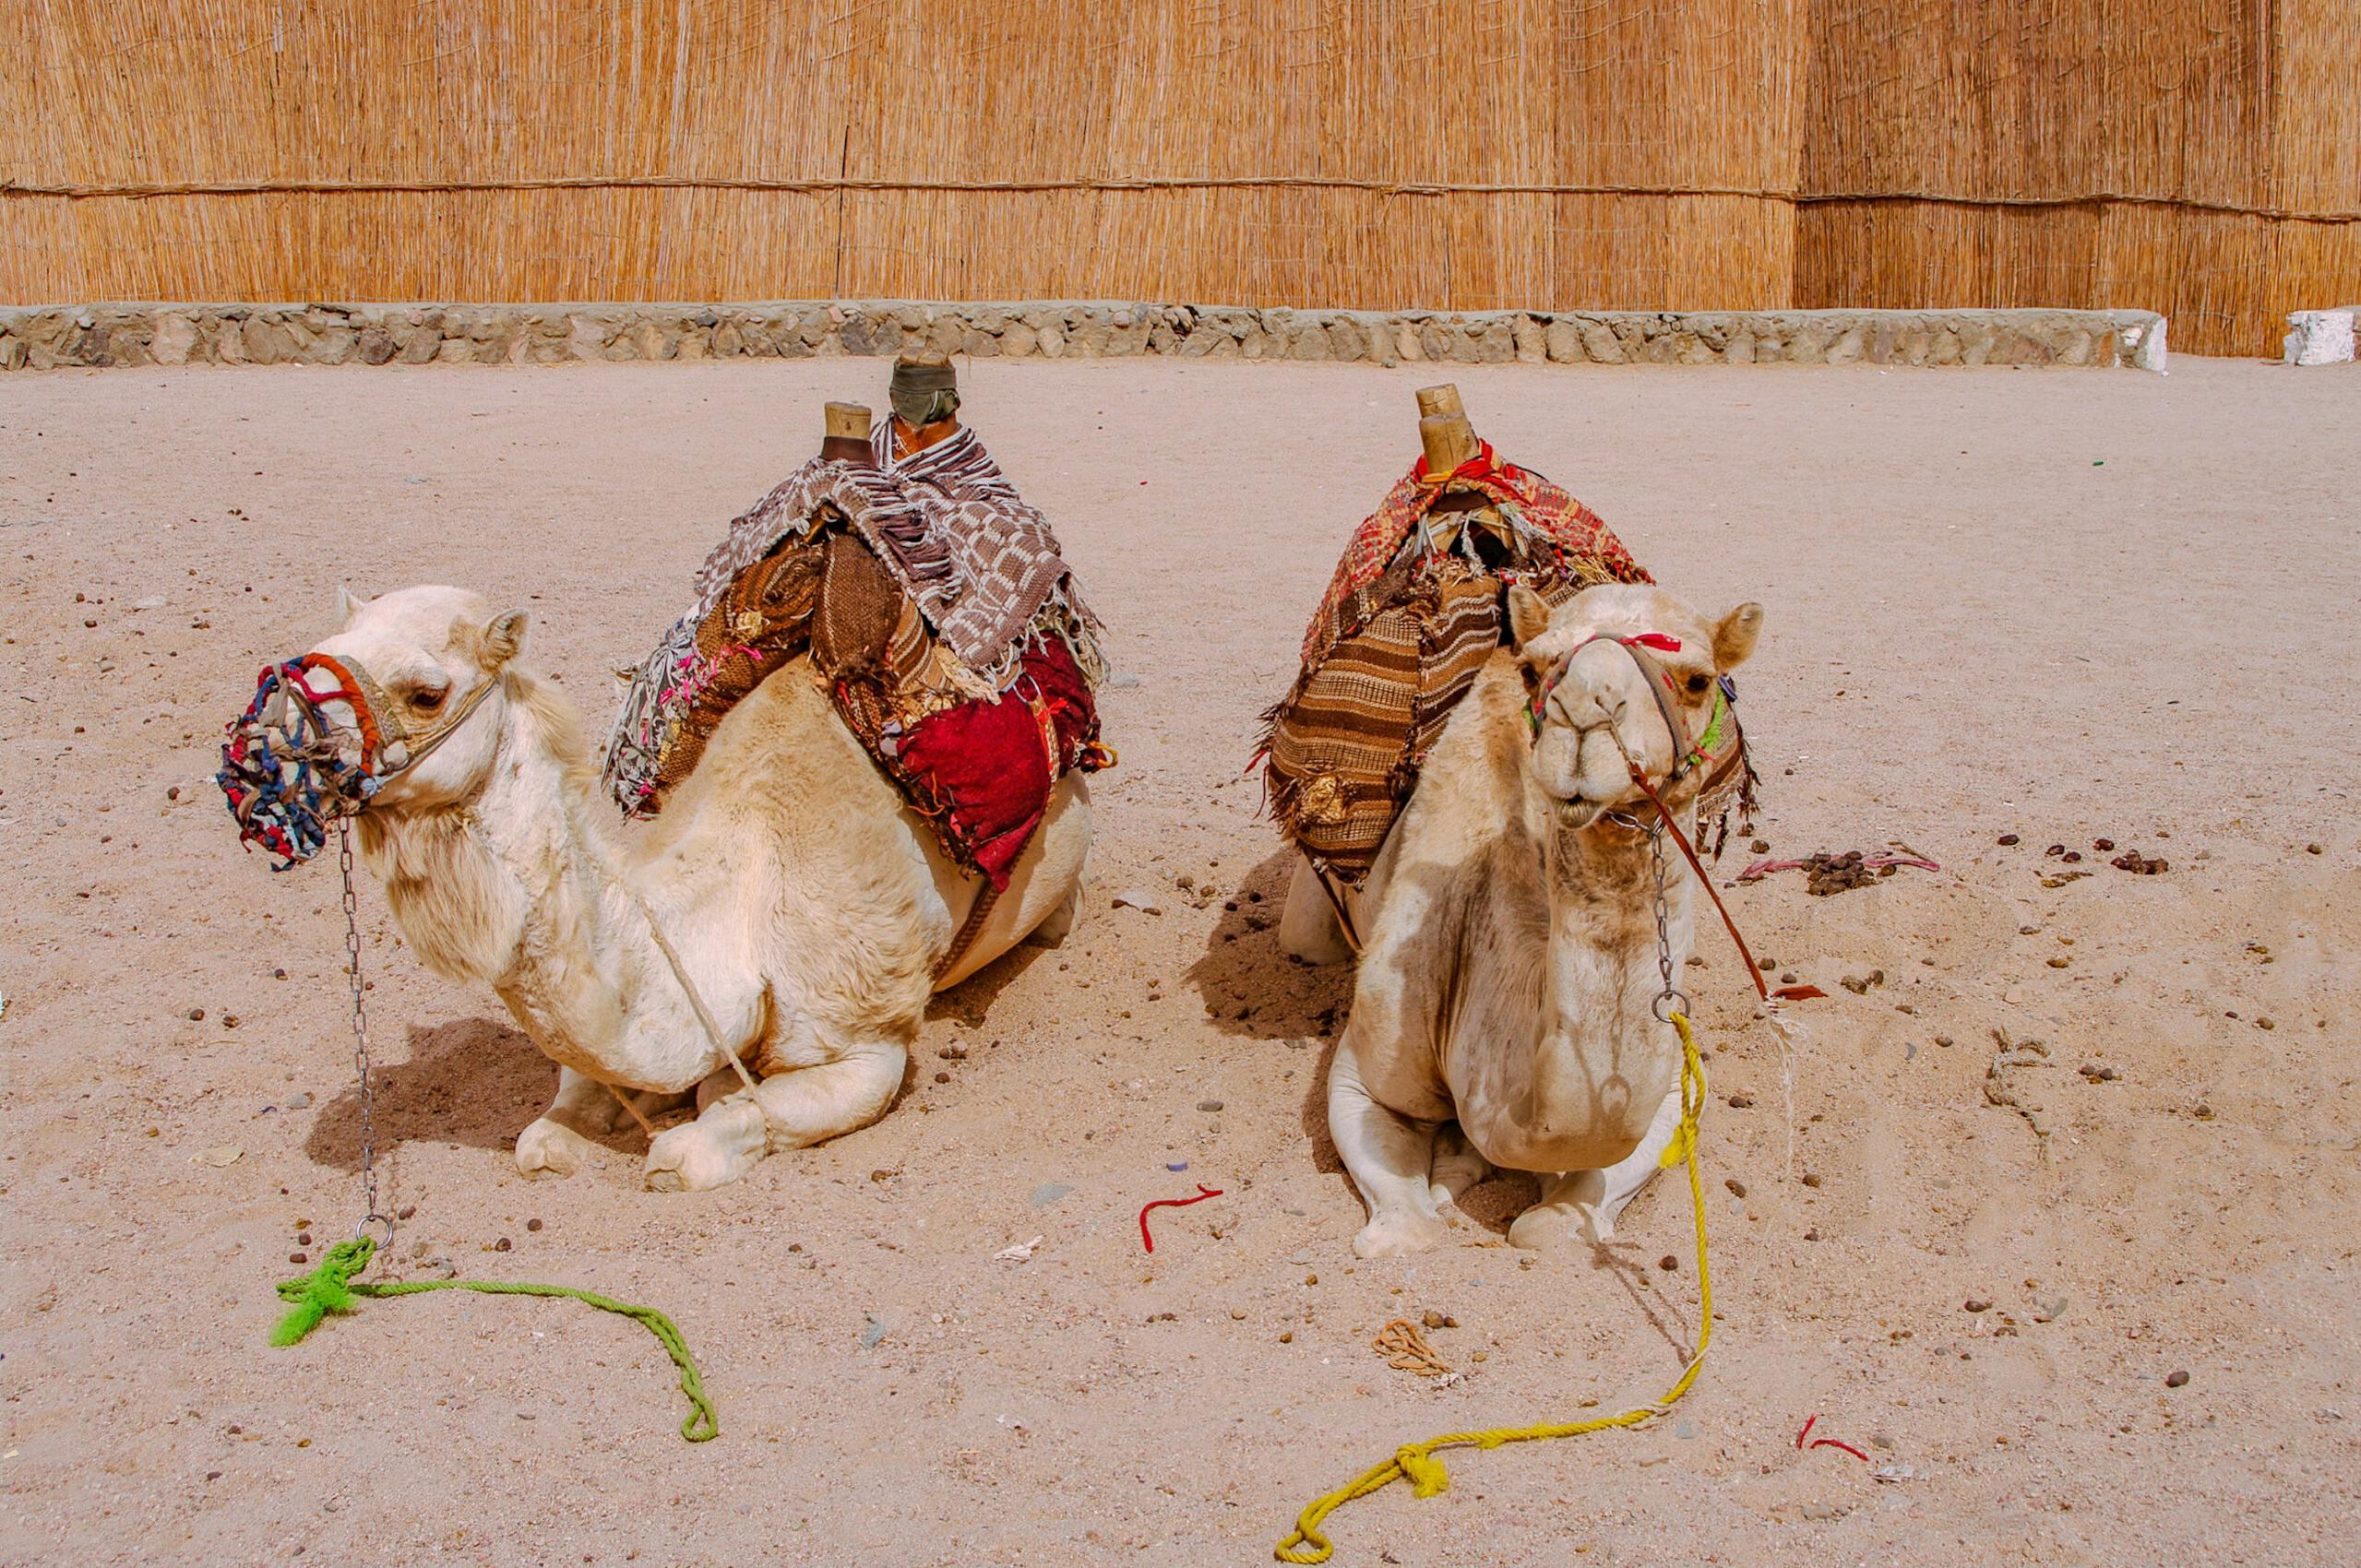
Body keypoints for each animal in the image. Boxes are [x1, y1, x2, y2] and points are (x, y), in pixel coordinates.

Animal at [300, 582, 1091, 1191]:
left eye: (426, 693)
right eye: (317, 655)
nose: (295, 746)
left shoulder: (867, 1041)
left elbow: (694, 1142)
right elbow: (550, 1127)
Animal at [1282, 578, 1763, 1256]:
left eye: (1697, 680)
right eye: (1534, 669)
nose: (1585, 716)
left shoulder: (1673, 1093)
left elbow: (1550, 1228)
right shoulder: (1364, 1074)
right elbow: (1408, 1230)